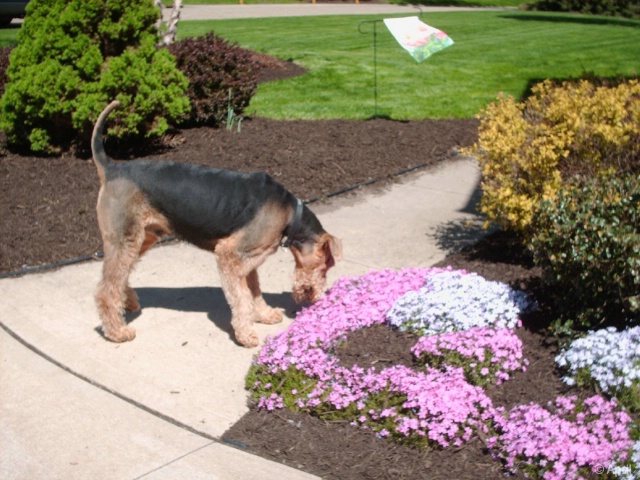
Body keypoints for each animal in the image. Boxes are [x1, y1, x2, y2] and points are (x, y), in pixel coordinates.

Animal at [91, 102, 344, 348]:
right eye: (325, 265)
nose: (315, 298)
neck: (290, 214)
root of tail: (111, 168)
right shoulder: (230, 255)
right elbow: (242, 299)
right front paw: (246, 335)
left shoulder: (249, 261)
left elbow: (254, 291)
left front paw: (266, 315)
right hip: (124, 238)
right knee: (105, 290)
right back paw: (118, 332)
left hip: (143, 237)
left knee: (118, 278)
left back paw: (129, 303)